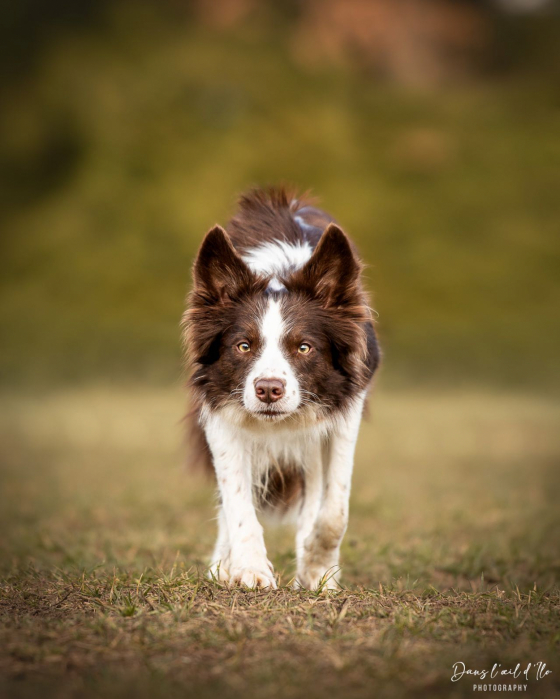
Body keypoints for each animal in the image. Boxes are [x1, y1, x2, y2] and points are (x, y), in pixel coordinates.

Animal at [184, 187, 380, 592]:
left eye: (303, 347)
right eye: (243, 346)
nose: (269, 390)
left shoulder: (344, 409)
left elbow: (334, 509)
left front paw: (316, 568)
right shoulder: (220, 409)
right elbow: (236, 498)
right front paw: (248, 569)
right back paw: (223, 563)